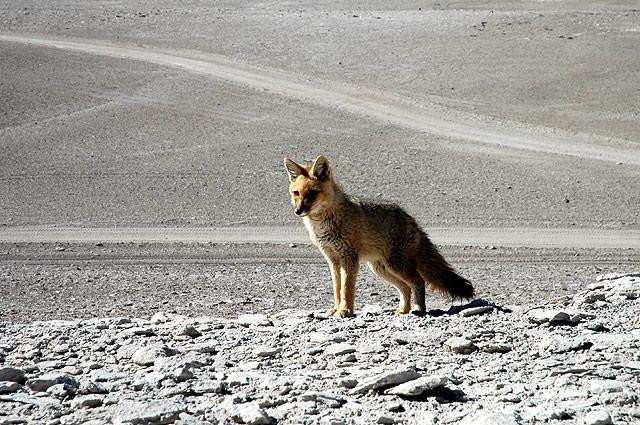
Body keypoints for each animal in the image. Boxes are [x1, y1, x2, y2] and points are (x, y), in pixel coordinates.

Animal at [282, 154, 472, 316]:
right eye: (296, 193)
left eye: (312, 193)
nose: (298, 211)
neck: (322, 224)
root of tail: (411, 219)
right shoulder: (332, 259)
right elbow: (337, 288)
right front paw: (336, 309)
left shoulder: (348, 258)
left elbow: (346, 288)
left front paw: (345, 310)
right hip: (382, 269)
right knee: (406, 287)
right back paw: (403, 309)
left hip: (396, 265)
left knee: (418, 282)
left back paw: (418, 308)